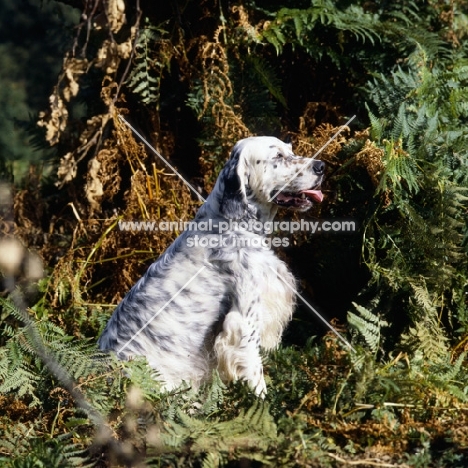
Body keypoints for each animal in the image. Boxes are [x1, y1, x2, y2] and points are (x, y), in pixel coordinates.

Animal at [98, 138, 326, 394]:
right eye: (277, 156)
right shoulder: (243, 322)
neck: (232, 222)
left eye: (291, 150)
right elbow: (255, 375)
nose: (321, 166)